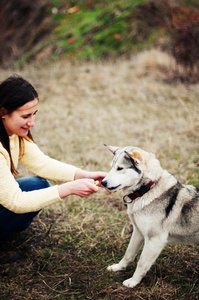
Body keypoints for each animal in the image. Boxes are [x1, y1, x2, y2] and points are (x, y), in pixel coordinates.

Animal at [102, 145, 198, 288]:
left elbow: (141, 263)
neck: (147, 189)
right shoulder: (138, 232)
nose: (103, 183)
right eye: (111, 167)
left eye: (119, 168)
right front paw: (119, 267)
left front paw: (133, 282)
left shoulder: (155, 240)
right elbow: (128, 254)